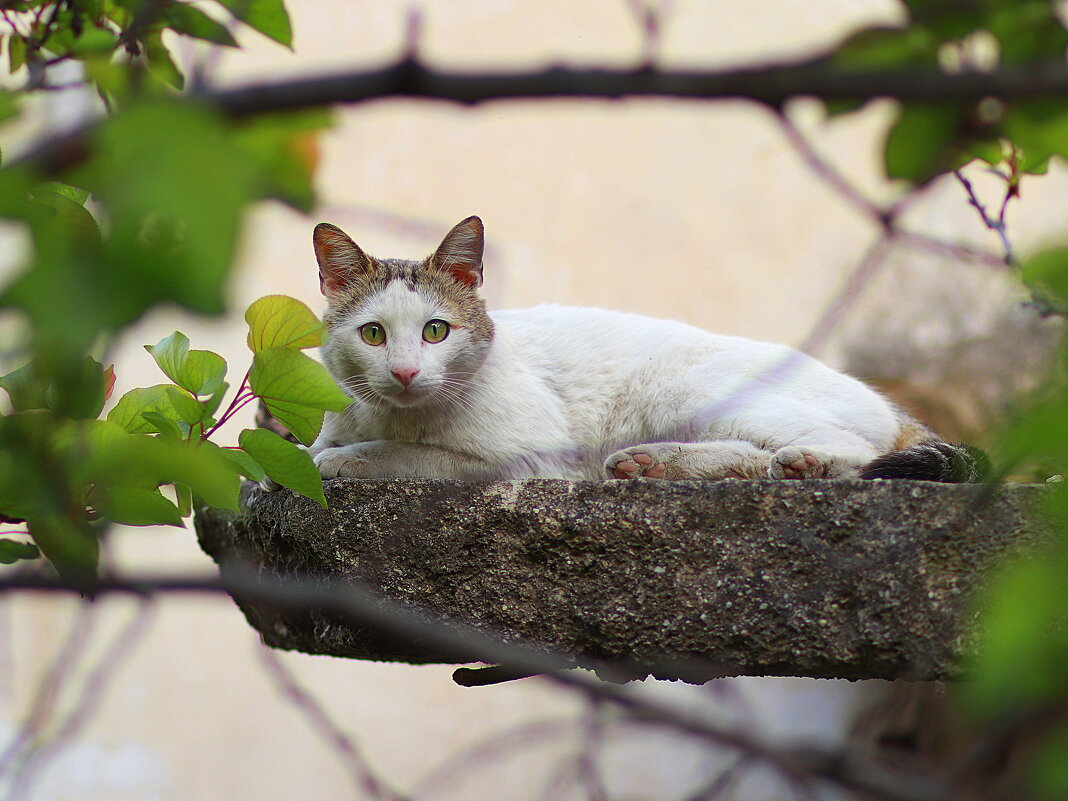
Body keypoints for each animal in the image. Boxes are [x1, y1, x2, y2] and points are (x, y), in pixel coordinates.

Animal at [305, 213, 986, 487]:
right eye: (373, 334)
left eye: (435, 331)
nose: (404, 371)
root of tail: (893, 407)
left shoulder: (531, 459)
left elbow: (404, 456)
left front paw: (341, 462)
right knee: (752, 459)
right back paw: (655, 464)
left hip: (687, 387)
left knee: (852, 450)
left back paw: (808, 463)